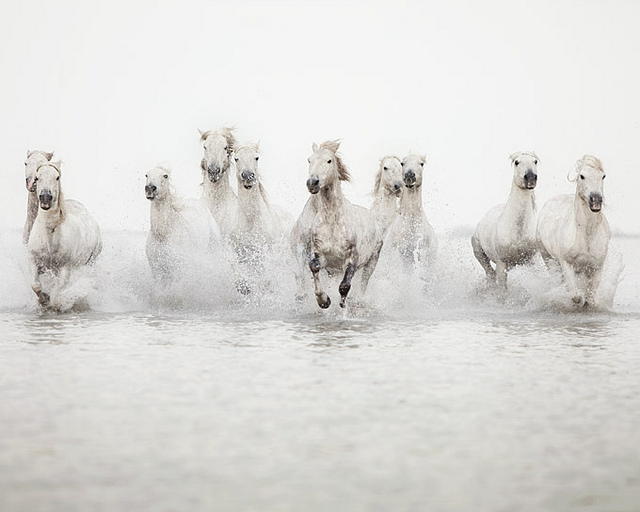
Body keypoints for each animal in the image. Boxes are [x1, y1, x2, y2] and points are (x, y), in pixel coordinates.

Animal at [28, 161, 102, 309]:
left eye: (57, 177)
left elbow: (58, 296)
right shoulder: (34, 261)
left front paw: (53, 302)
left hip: (90, 262)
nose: (45, 198)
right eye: (37, 177)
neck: (49, 239)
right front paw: (44, 299)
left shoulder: (65, 267)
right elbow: (35, 285)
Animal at [292, 140, 384, 309]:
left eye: (329, 161)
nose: (312, 182)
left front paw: (342, 304)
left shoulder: (351, 260)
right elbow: (313, 267)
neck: (332, 221)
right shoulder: (321, 256)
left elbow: (344, 286)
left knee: (364, 282)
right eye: (309, 160)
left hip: (372, 261)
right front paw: (324, 301)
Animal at [471, 152, 539, 289]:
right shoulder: (501, 264)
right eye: (517, 162)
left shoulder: (532, 262)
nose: (530, 178)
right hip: (479, 253)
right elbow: (502, 291)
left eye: (535, 161)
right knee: (490, 274)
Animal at [536, 155, 610, 308]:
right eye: (582, 176)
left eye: (603, 176)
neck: (586, 235)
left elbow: (591, 299)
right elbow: (575, 296)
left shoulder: (596, 267)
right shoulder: (567, 264)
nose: (596, 200)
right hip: (548, 257)